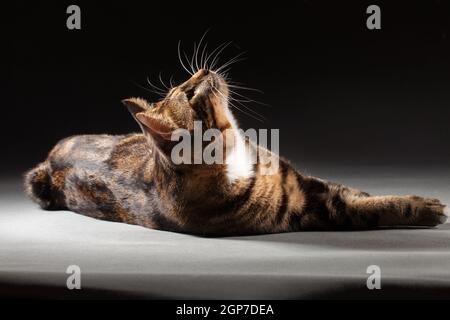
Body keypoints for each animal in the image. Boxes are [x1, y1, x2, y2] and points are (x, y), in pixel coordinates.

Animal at [23, 69, 446, 236]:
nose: (203, 71)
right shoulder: (313, 208)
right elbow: (370, 207)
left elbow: (362, 193)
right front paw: (427, 208)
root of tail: (49, 158)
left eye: (184, 81)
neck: (235, 155)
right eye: (189, 92)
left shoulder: (308, 182)